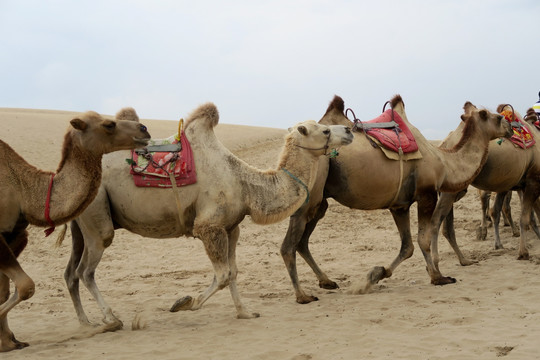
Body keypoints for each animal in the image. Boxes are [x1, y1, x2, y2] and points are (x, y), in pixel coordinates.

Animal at [0, 109, 150, 352]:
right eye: (109, 125)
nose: (144, 129)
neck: (25, 190)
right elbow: (25, 286)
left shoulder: (14, 235)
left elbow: (7, 289)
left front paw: (8, 342)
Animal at [60, 101, 354, 330]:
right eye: (325, 129)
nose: (350, 130)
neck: (245, 185)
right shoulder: (208, 226)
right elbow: (222, 275)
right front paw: (185, 303)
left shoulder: (231, 227)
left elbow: (232, 272)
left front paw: (245, 312)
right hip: (98, 215)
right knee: (86, 271)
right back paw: (111, 319)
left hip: (81, 221)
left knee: (71, 273)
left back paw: (86, 323)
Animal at [280, 95, 512, 304]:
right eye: (498, 117)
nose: (510, 127)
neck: (446, 163)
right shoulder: (426, 194)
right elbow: (423, 240)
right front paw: (438, 277)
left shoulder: (399, 205)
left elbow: (407, 246)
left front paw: (375, 275)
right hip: (309, 199)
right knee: (288, 246)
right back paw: (302, 296)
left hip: (320, 202)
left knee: (302, 242)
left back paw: (326, 281)